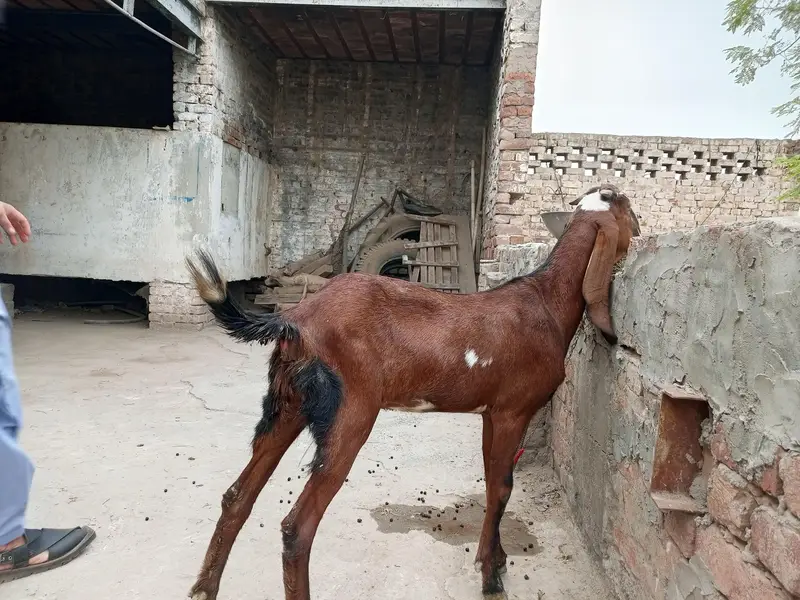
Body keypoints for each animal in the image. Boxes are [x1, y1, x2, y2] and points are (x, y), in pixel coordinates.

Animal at [185, 183, 640, 600]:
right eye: (628, 211)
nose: (639, 231)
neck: (546, 302)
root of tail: (296, 318)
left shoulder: (490, 412)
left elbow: (492, 482)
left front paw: (491, 559)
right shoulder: (513, 410)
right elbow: (503, 488)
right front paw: (491, 578)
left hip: (289, 405)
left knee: (236, 496)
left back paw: (204, 589)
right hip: (349, 412)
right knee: (297, 527)